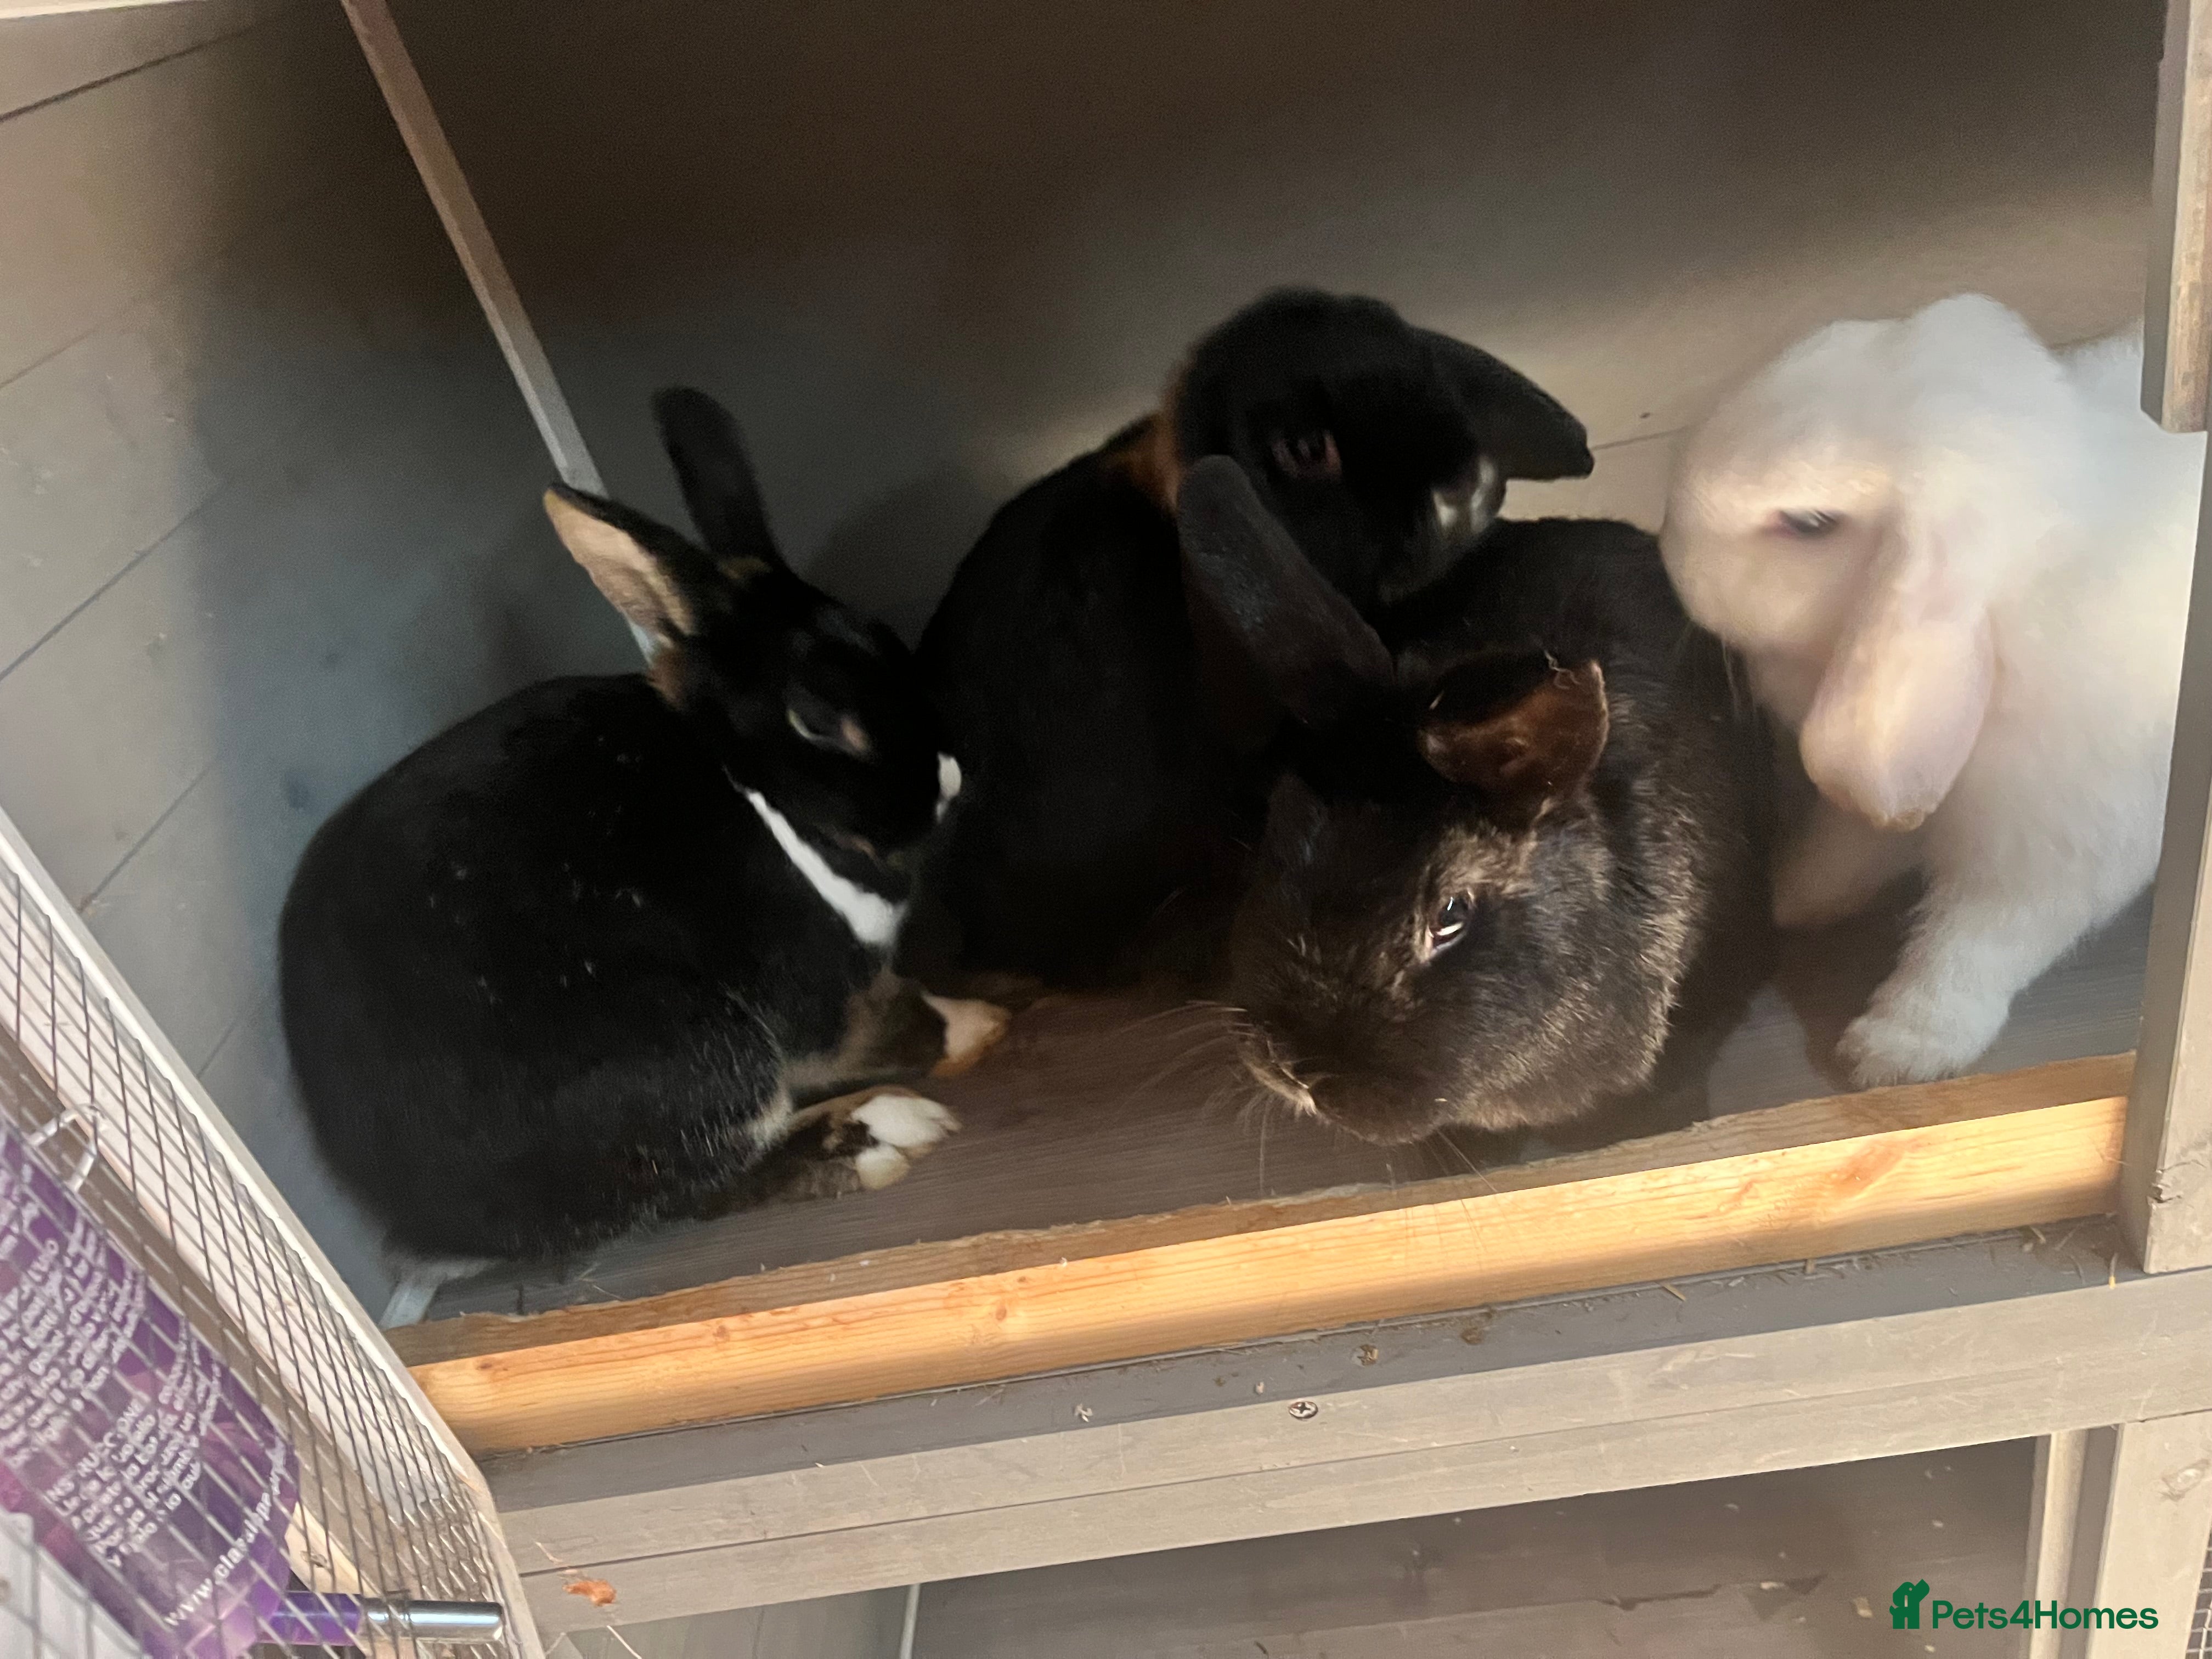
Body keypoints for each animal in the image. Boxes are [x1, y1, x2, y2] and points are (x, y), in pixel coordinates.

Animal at [279, 387, 1008, 1275]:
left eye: (885, 637)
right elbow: (904, 1020)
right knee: (704, 1186)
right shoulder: (824, 996)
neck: (751, 784)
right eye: (816, 720)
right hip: (704, 1053)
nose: (948, 780)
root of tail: (434, 1215)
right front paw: (982, 1024)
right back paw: (889, 1132)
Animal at [1661, 293, 2204, 1087]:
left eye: (1810, 524)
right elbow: (1845, 846)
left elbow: (1974, 948)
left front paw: (1894, 1052)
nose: (1668, 548)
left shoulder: (2050, 857)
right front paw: (1788, 895)